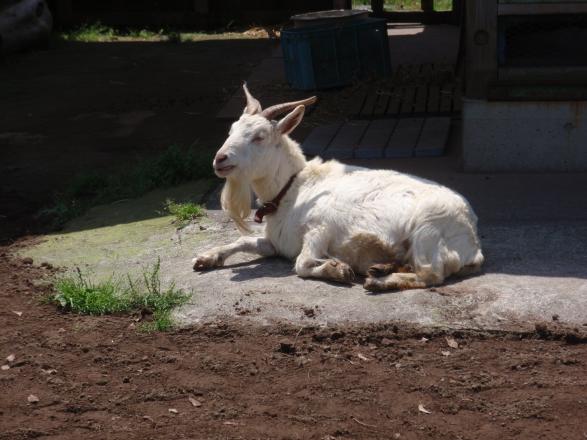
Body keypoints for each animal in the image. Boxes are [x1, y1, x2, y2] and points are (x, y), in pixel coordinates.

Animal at [193, 85, 482, 292]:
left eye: (259, 137)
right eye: (231, 129)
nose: (220, 159)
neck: (293, 189)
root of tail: (472, 242)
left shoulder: (320, 229)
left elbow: (301, 264)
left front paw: (337, 269)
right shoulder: (277, 243)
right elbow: (243, 240)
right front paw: (206, 257)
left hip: (426, 232)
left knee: (430, 274)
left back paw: (378, 281)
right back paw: (380, 268)